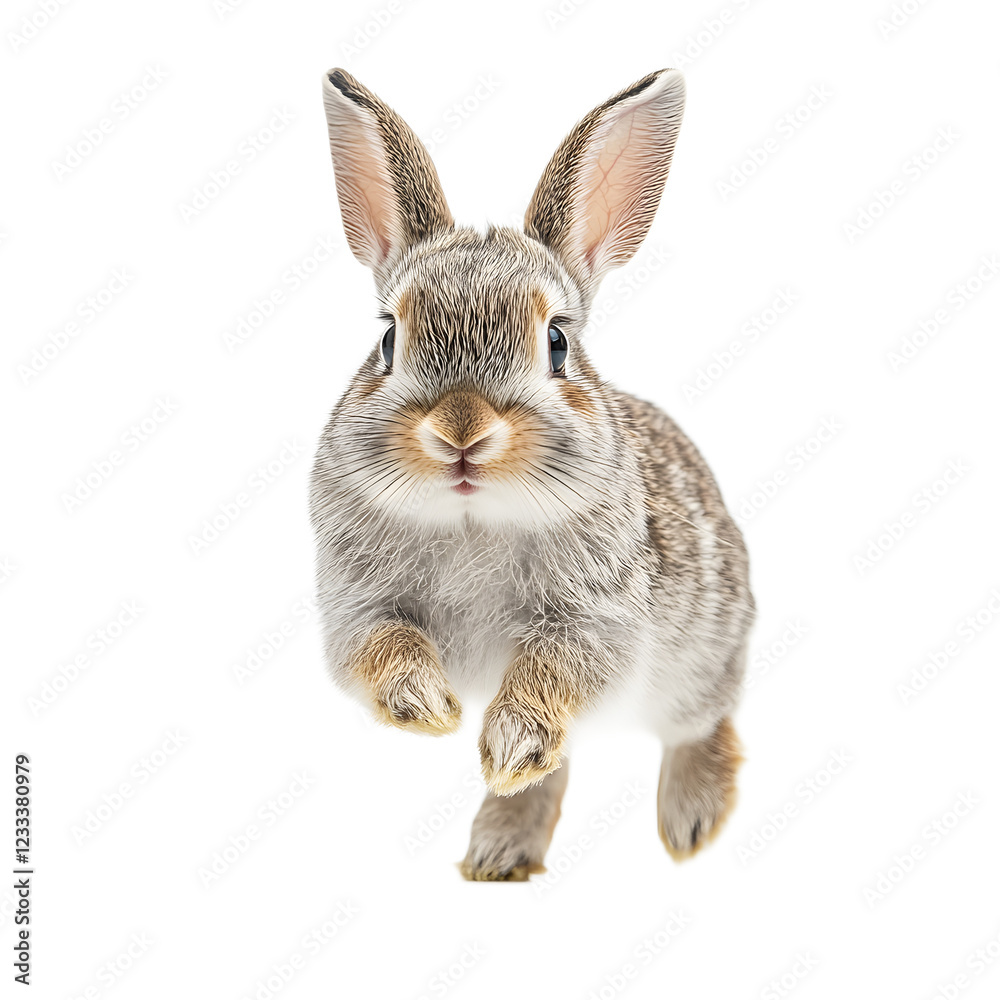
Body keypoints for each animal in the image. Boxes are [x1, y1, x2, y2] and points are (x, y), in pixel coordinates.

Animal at [310, 66, 755, 881]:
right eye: (388, 338)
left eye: (556, 342)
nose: (461, 433)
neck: (473, 519)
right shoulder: (356, 605)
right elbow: (382, 647)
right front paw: (434, 711)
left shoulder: (597, 621)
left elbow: (553, 672)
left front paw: (507, 744)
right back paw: (499, 848)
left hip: (698, 662)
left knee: (699, 725)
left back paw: (690, 822)